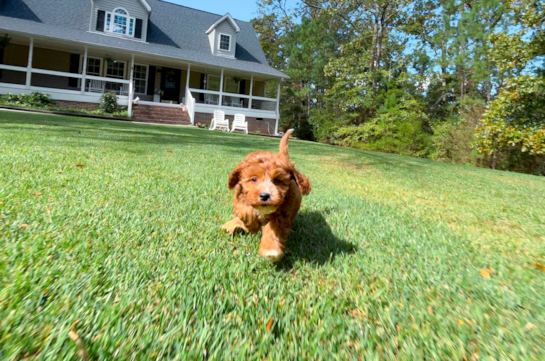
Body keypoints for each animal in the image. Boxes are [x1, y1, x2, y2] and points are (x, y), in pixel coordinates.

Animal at [221, 131, 310, 260]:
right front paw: (252, 225)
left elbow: (274, 230)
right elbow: (244, 211)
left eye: (277, 180)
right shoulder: (240, 196)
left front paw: (270, 249)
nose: (264, 196)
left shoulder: (283, 215)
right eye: (254, 179)